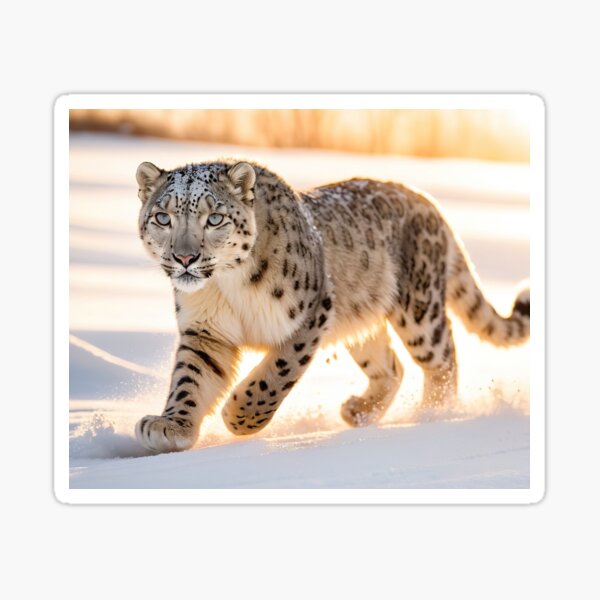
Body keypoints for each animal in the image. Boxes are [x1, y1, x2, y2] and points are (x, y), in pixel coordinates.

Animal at [134, 157, 528, 452]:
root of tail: (427, 200)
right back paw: (359, 411)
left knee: (443, 359)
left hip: (419, 310)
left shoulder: (310, 314)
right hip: (361, 319)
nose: (185, 257)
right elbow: (190, 378)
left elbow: (274, 375)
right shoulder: (206, 331)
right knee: (392, 366)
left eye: (214, 218)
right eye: (163, 217)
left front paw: (239, 416)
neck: (226, 288)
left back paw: (432, 416)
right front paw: (171, 426)